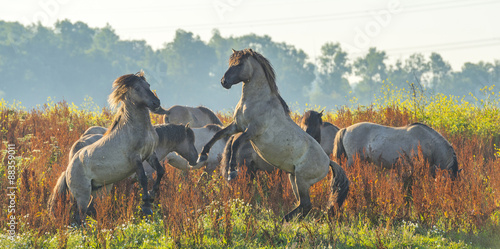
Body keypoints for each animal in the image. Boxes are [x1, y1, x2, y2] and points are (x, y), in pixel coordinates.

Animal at [48, 71, 163, 224]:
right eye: (137, 88)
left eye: (148, 85)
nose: (156, 103)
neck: (136, 129)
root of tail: (67, 170)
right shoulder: (135, 158)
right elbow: (143, 178)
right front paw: (146, 206)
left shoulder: (150, 154)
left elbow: (161, 171)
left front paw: (152, 195)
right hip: (82, 195)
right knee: (81, 215)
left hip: (98, 189)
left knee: (84, 213)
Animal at [197, 49, 350, 222]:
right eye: (231, 63)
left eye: (240, 64)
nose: (224, 81)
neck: (257, 101)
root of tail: (328, 161)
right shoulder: (237, 125)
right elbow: (217, 135)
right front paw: (202, 155)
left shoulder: (252, 131)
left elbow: (236, 143)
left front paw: (232, 171)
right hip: (293, 178)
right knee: (303, 205)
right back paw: (284, 221)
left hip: (302, 181)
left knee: (306, 205)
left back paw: (282, 221)